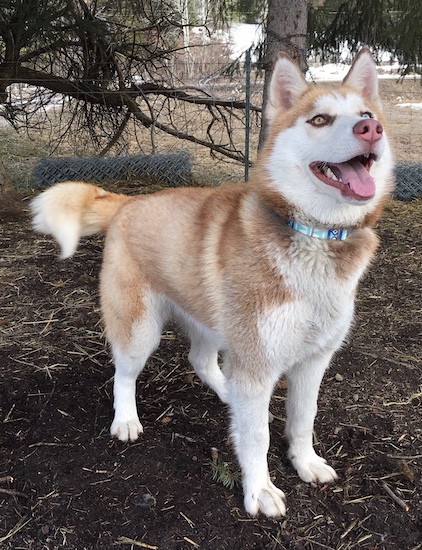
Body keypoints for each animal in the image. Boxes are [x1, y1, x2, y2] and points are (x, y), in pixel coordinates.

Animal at [31, 47, 394, 516]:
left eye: (365, 114)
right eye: (320, 119)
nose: (372, 129)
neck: (314, 237)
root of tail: (129, 201)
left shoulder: (314, 360)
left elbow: (303, 419)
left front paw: (306, 462)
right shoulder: (257, 361)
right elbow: (257, 437)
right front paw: (259, 490)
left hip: (212, 321)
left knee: (203, 362)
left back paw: (227, 395)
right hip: (140, 330)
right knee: (124, 373)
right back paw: (126, 418)